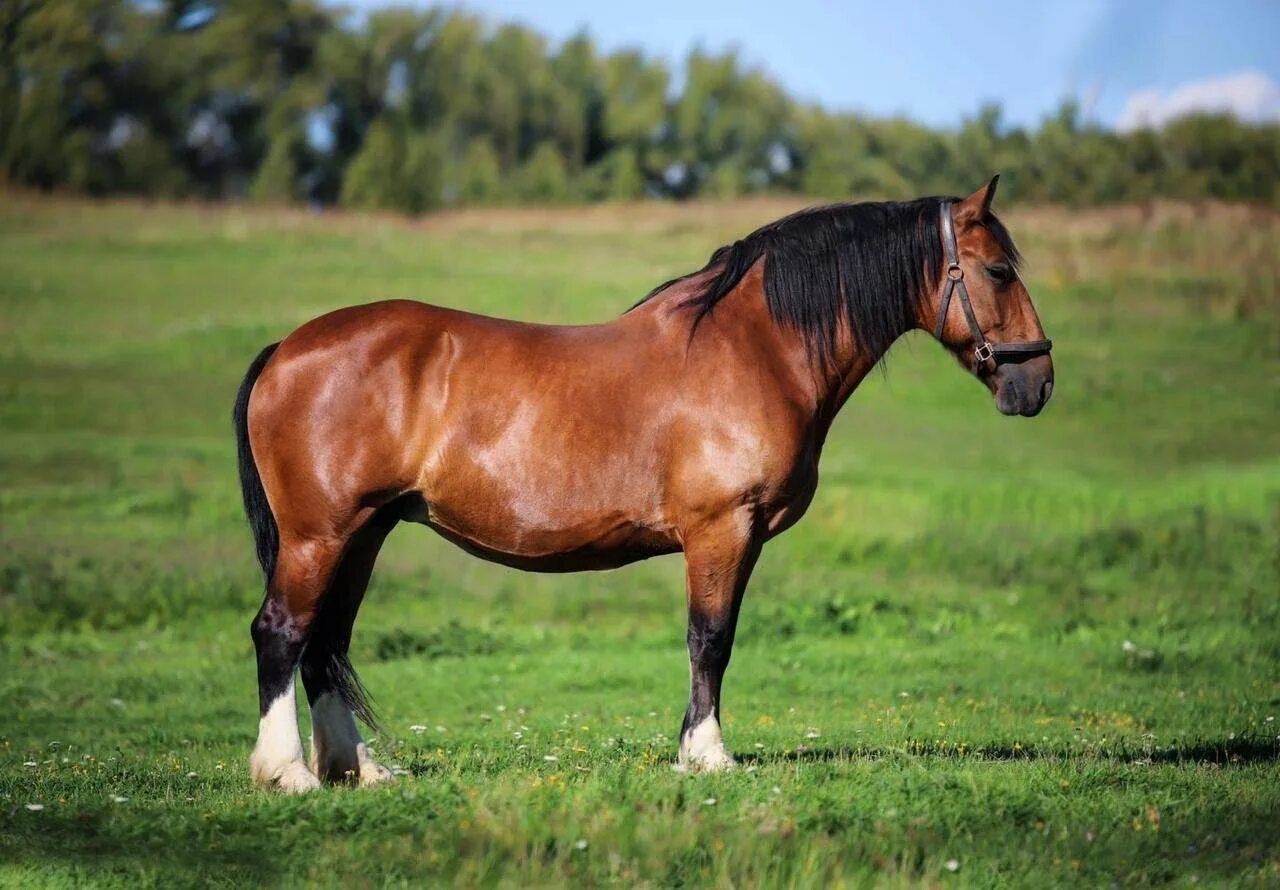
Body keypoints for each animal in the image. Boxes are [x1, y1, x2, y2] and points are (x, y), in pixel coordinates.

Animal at [230, 178, 1049, 788]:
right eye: (999, 271)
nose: (1036, 384)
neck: (754, 349)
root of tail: (287, 349)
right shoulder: (723, 529)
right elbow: (711, 637)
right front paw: (709, 756)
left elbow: (712, 639)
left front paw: (691, 749)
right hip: (320, 535)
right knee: (282, 631)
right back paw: (288, 773)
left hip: (363, 533)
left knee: (325, 641)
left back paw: (355, 770)